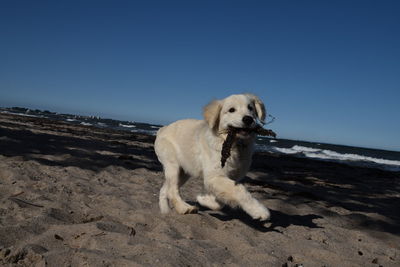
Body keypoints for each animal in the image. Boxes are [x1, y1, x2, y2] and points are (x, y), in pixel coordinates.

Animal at [155, 94, 270, 222]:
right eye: (231, 110)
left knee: (165, 189)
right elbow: (239, 191)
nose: (248, 119)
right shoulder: (214, 176)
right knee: (172, 190)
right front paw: (259, 211)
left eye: (250, 108)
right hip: (173, 165)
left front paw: (204, 200)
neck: (233, 144)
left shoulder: (228, 177)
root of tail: (162, 129)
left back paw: (165, 211)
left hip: (185, 171)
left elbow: (221, 202)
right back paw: (184, 208)